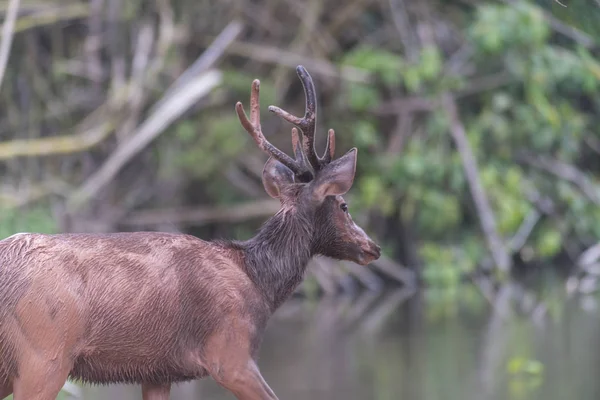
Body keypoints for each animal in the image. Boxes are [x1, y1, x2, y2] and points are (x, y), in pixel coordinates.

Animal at [0, 66, 380, 400]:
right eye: (343, 204)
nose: (373, 247)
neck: (257, 281)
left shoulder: (158, 371)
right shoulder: (229, 353)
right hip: (44, 355)